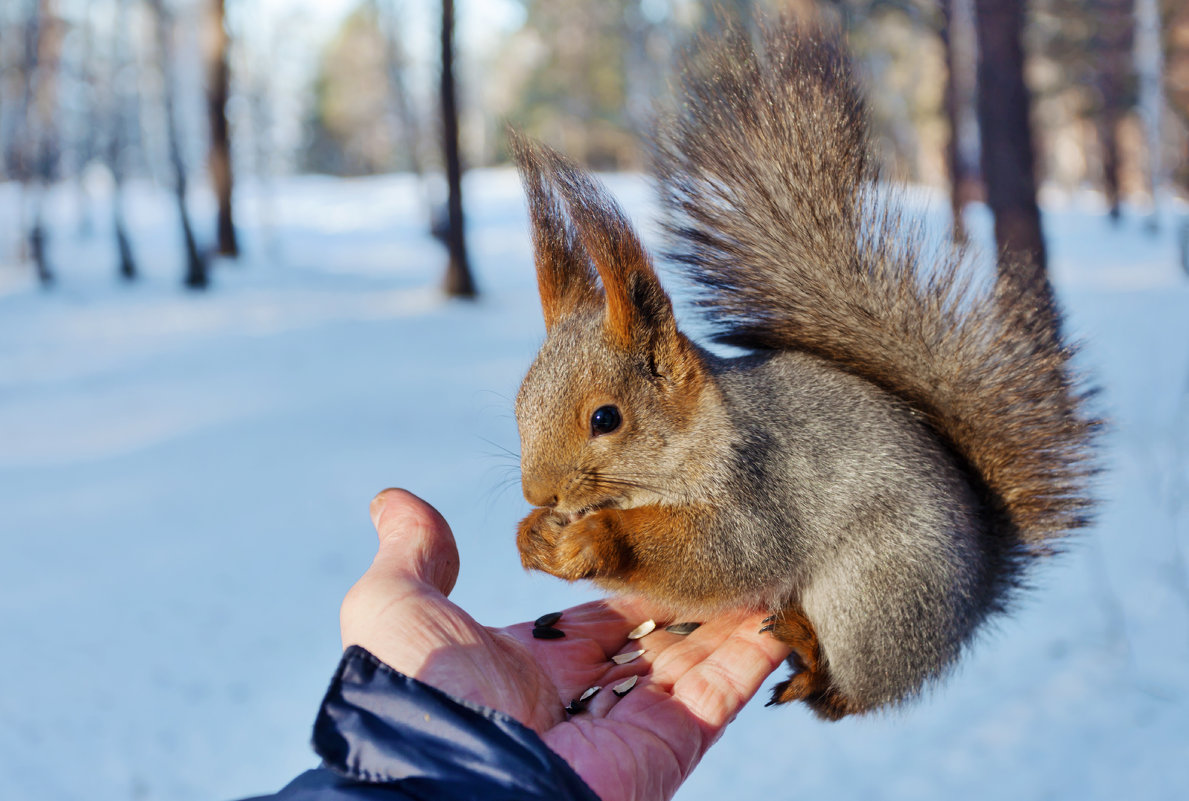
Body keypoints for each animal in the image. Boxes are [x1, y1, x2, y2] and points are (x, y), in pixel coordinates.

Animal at [506, 18, 1089, 717]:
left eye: (605, 418)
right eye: (518, 406)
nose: (539, 493)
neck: (694, 440)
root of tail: (973, 604)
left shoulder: (764, 486)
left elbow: (724, 552)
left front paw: (596, 539)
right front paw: (532, 535)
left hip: (871, 595)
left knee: (843, 699)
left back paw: (808, 655)